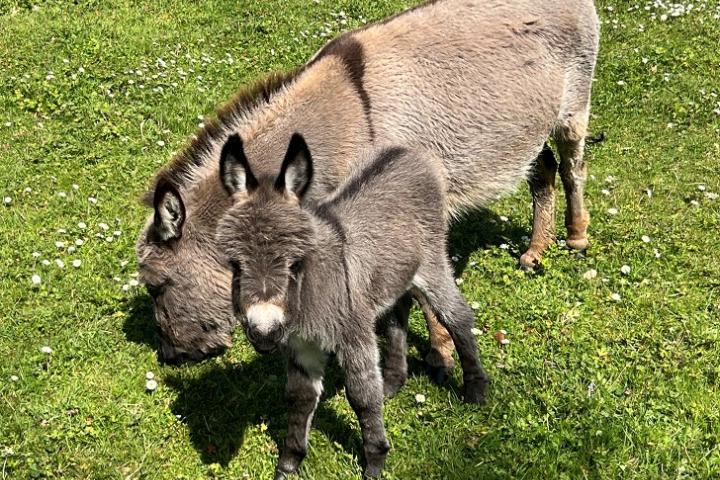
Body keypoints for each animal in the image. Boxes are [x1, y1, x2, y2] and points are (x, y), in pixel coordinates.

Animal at [217, 134, 486, 476]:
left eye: (294, 264)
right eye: (236, 265)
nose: (264, 334)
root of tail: (408, 151)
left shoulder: (353, 335)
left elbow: (361, 396)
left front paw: (374, 462)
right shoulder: (301, 345)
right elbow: (300, 398)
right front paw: (290, 462)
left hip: (432, 265)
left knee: (458, 316)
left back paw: (476, 390)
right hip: (393, 274)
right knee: (397, 315)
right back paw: (393, 380)